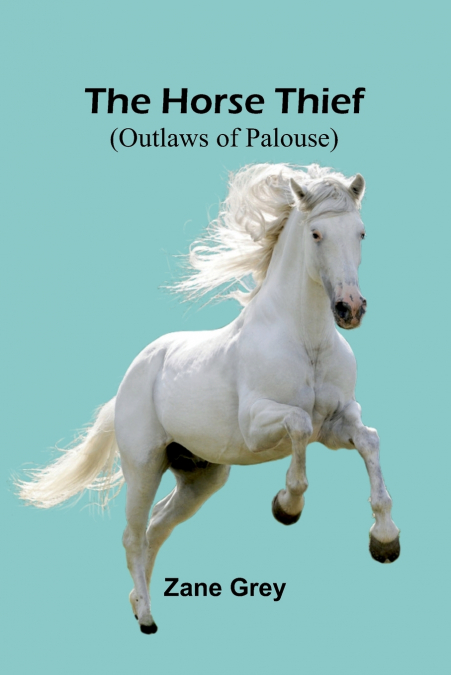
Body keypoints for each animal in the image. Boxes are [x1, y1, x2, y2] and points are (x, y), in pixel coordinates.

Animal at [17, 163, 400, 635]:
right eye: (316, 234)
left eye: (361, 232)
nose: (350, 308)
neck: (306, 341)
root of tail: (131, 377)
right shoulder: (259, 425)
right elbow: (298, 425)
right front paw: (287, 506)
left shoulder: (337, 422)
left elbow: (369, 440)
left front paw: (385, 540)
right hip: (143, 466)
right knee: (133, 534)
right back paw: (147, 617)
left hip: (201, 476)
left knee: (156, 529)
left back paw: (136, 601)